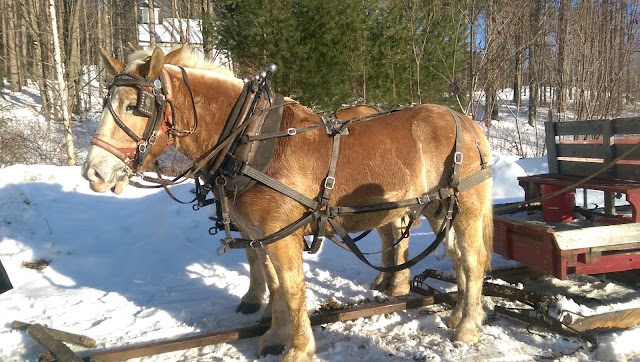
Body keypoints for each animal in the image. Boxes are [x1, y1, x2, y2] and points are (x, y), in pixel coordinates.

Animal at [84, 46, 496, 360]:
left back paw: (467, 326)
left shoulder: (282, 235)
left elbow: (293, 288)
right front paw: (274, 336)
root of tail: (465, 120)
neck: (248, 140)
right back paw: (458, 313)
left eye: (135, 106)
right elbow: (275, 284)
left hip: (465, 208)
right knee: (456, 257)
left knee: (472, 261)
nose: (94, 173)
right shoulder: (261, 234)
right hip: (439, 208)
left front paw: (297, 349)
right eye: (106, 102)